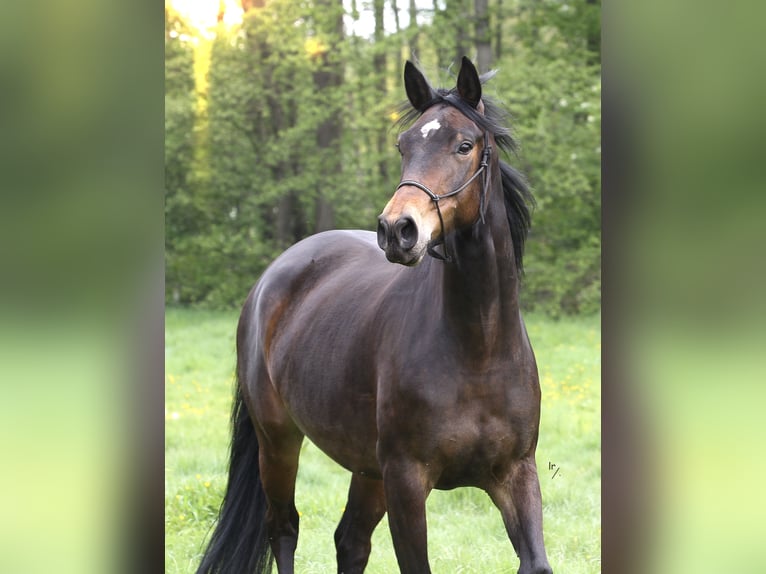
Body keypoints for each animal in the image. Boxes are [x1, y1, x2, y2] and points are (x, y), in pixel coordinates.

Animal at [196, 57, 552, 574]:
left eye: (464, 145)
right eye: (404, 145)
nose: (397, 230)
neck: (479, 347)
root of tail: (273, 277)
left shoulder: (515, 475)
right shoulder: (406, 480)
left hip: (367, 468)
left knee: (350, 541)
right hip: (278, 442)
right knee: (284, 529)